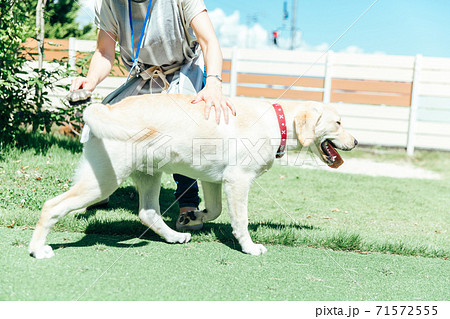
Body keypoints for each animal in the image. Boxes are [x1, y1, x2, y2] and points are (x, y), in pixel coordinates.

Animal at [29, 94, 358, 258]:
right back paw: (37, 250)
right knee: (52, 206)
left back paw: (174, 236)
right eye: (339, 123)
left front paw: (193, 216)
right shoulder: (238, 181)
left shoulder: (214, 180)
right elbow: (240, 220)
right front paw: (249, 247)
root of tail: (106, 109)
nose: (356, 142)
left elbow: (215, 210)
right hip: (103, 181)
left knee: (148, 213)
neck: (277, 122)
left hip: (148, 175)